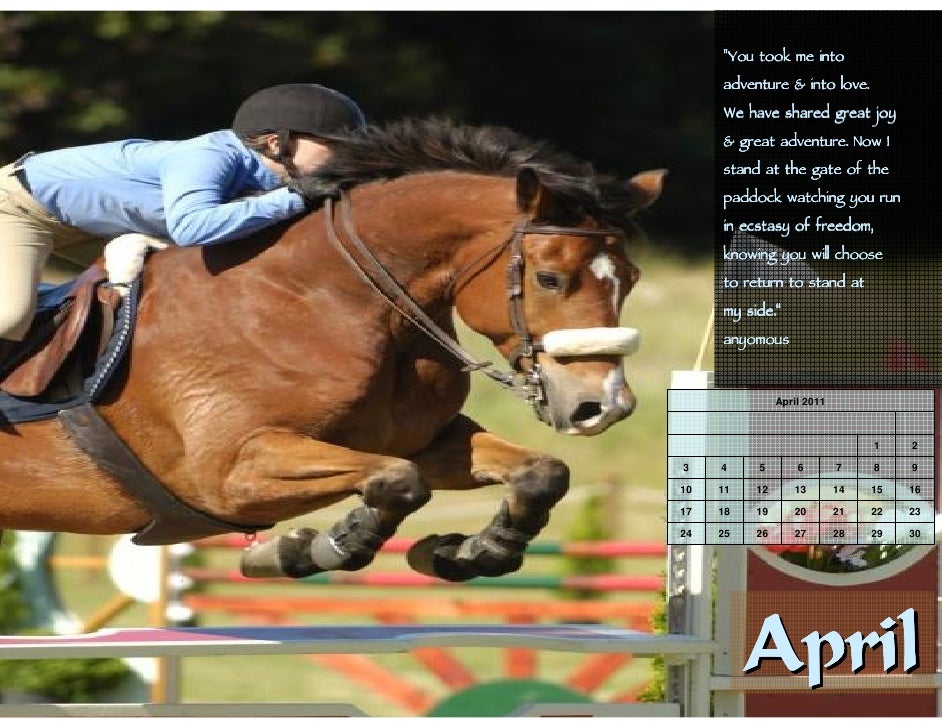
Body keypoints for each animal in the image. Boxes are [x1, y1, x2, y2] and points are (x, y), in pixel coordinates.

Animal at [0, 119, 663, 582]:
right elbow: (397, 480)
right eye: (551, 278)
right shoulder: (229, 473)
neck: (327, 299)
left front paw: (470, 552)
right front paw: (309, 548)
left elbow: (540, 472)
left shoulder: (428, 440)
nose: (604, 406)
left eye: (630, 279)